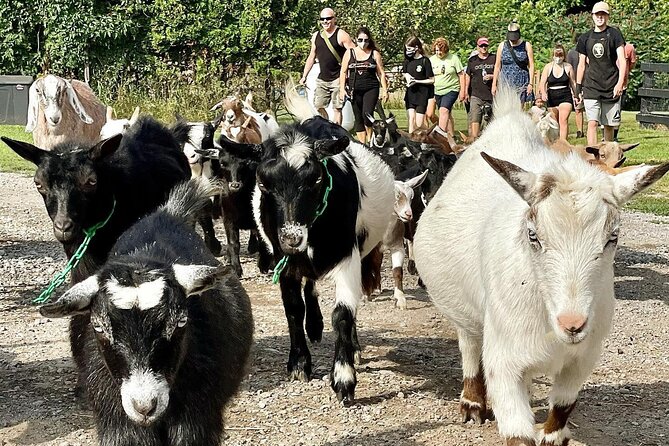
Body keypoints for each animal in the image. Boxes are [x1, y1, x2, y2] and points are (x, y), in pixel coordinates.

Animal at [39, 179, 253, 446]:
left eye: (180, 321)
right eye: (98, 326)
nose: (144, 406)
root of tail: (169, 213)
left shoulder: (198, 418)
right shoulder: (119, 422)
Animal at [413, 83, 669, 445]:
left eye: (613, 237)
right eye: (533, 235)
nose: (572, 323)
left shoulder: (583, 357)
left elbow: (561, 406)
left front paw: (553, 434)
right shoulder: (504, 356)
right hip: (466, 313)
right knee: (470, 344)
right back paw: (473, 403)